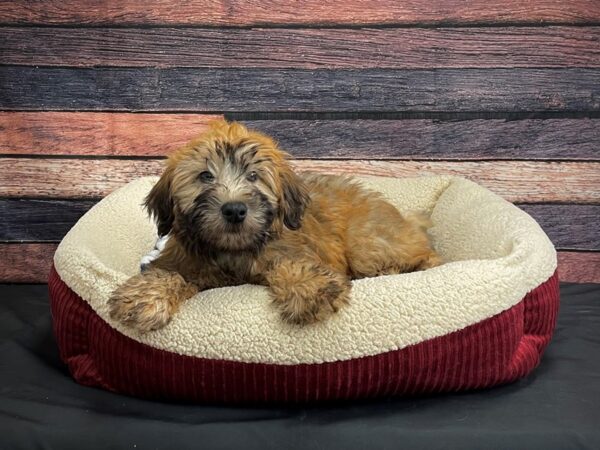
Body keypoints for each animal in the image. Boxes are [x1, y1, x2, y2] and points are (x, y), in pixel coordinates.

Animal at [108, 119, 440, 330]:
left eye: (253, 176)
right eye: (205, 176)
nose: (234, 210)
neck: (234, 252)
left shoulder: (290, 250)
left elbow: (291, 263)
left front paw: (310, 288)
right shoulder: (184, 261)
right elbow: (168, 273)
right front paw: (144, 297)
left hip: (366, 243)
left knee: (425, 256)